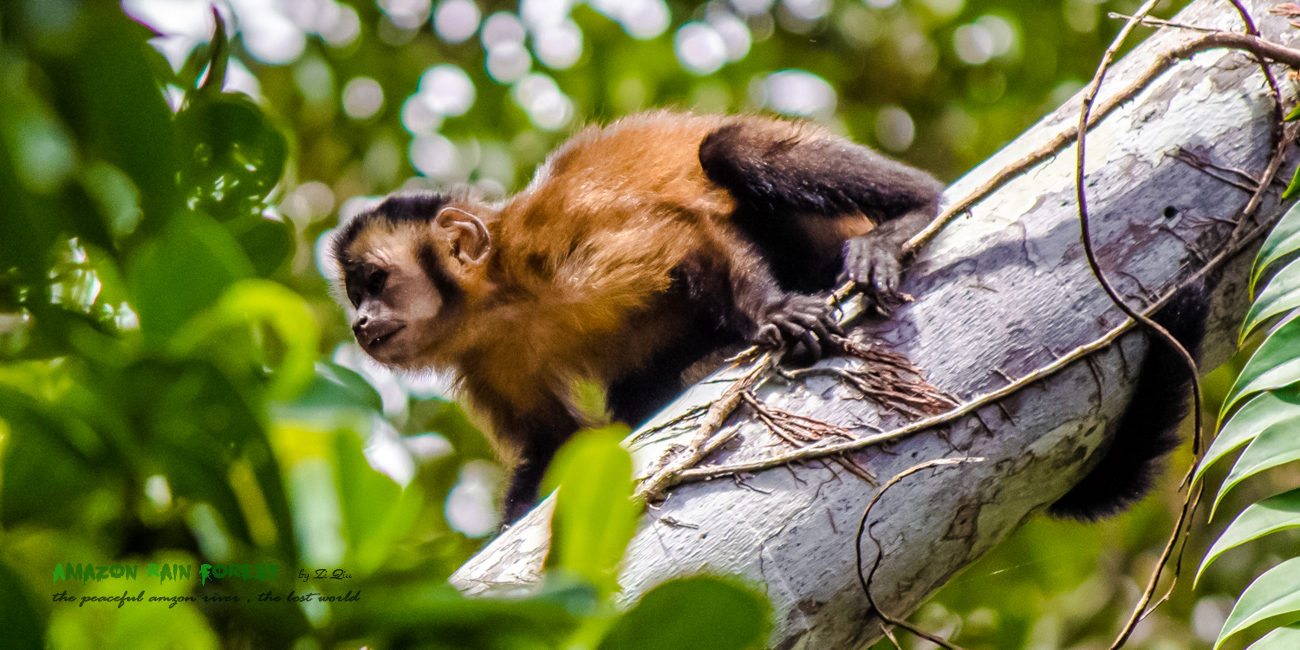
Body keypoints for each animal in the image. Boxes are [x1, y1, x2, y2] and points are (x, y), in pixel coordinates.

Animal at [332, 110, 1196, 522]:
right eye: (356, 292)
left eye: (376, 280)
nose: (360, 325)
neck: (501, 295)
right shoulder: (482, 356)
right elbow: (554, 443)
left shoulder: (560, 240)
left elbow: (685, 236)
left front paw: (774, 314)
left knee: (729, 150)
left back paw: (907, 212)